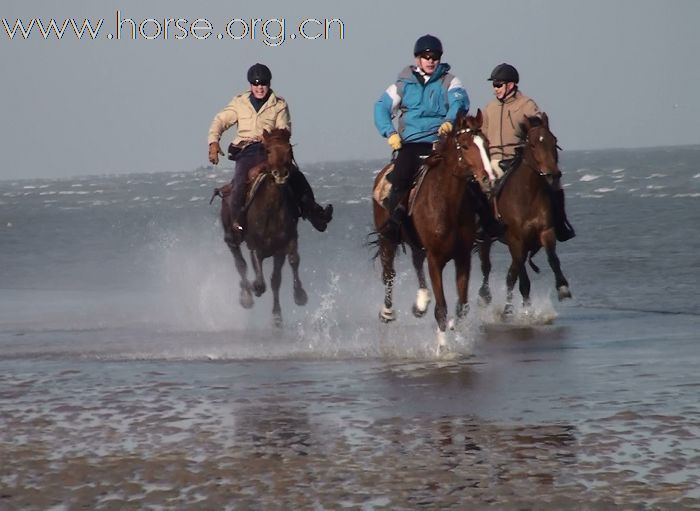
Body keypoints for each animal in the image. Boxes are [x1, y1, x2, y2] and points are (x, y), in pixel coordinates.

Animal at [219, 129, 306, 328]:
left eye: (289, 149)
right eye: (267, 150)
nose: (280, 174)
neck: (270, 211)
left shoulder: (284, 245)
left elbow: (282, 273)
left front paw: (295, 299)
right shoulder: (254, 246)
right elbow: (259, 278)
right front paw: (255, 289)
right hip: (231, 237)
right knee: (240, 264)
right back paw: (246, 296)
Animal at [372, 111, 498, 352]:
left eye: (486, 144)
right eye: (465, 146)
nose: (488, 180)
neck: (445, 202)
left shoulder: (463, 257)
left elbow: (462, 306)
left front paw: (454, 330)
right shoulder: (435, 259)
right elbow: (441, 307)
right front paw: (442, 347)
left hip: (415, 243)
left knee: (416, 262)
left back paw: (421, 302)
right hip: (387, 239)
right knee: (388, 273)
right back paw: (387, 312)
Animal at [478, 114, 572, 318]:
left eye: (554, 141)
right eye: (534, 145)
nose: (553, 175)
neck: (527, 194)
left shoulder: (546, 231)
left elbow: (552, 258)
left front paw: (563, 288)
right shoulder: (516, 240)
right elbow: (517, 276)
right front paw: (517, 309)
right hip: (487, 239)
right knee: (486, 266)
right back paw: (485, 295)